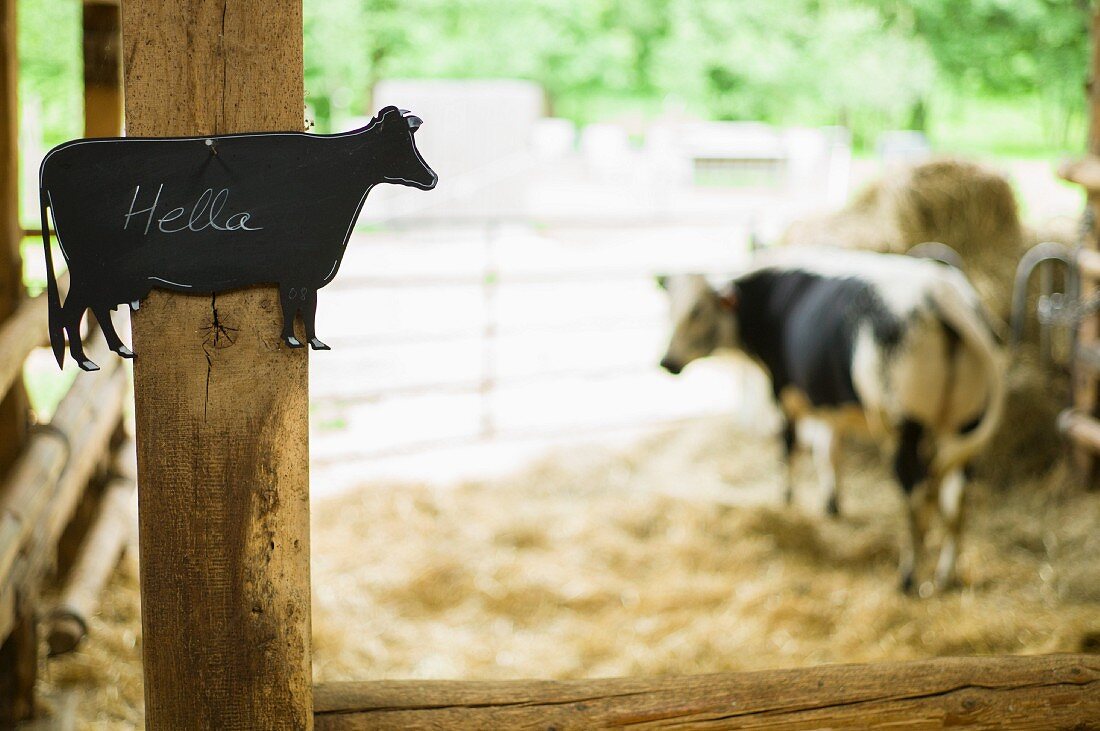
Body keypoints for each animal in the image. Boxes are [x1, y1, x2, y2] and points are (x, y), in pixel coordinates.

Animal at [42, 106, 437, 371]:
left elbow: (304, 306)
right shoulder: (299, 267)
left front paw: (309, 340)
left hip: (102, 274)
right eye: (398, 146)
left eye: (410, 142)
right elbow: (296, 305)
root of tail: (50, 162)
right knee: (71, 311)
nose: (432, 178)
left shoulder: (305, 270)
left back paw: (120, 349)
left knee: (95, 309)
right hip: (89, 269)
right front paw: (297, 340)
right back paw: (86, 360)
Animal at [660, 248, 1007, 589]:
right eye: (669, 309)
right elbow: (828, 451)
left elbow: (789, 446)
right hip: (962, 424)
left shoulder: (783, 388)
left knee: (917, 494)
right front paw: (831, 504)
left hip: (903, 425)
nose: (667, 361)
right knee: (955, 498)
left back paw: (909, 576)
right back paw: (945, 575)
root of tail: (940, 293)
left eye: (696, 311)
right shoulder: (828, 402)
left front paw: (787, 500)